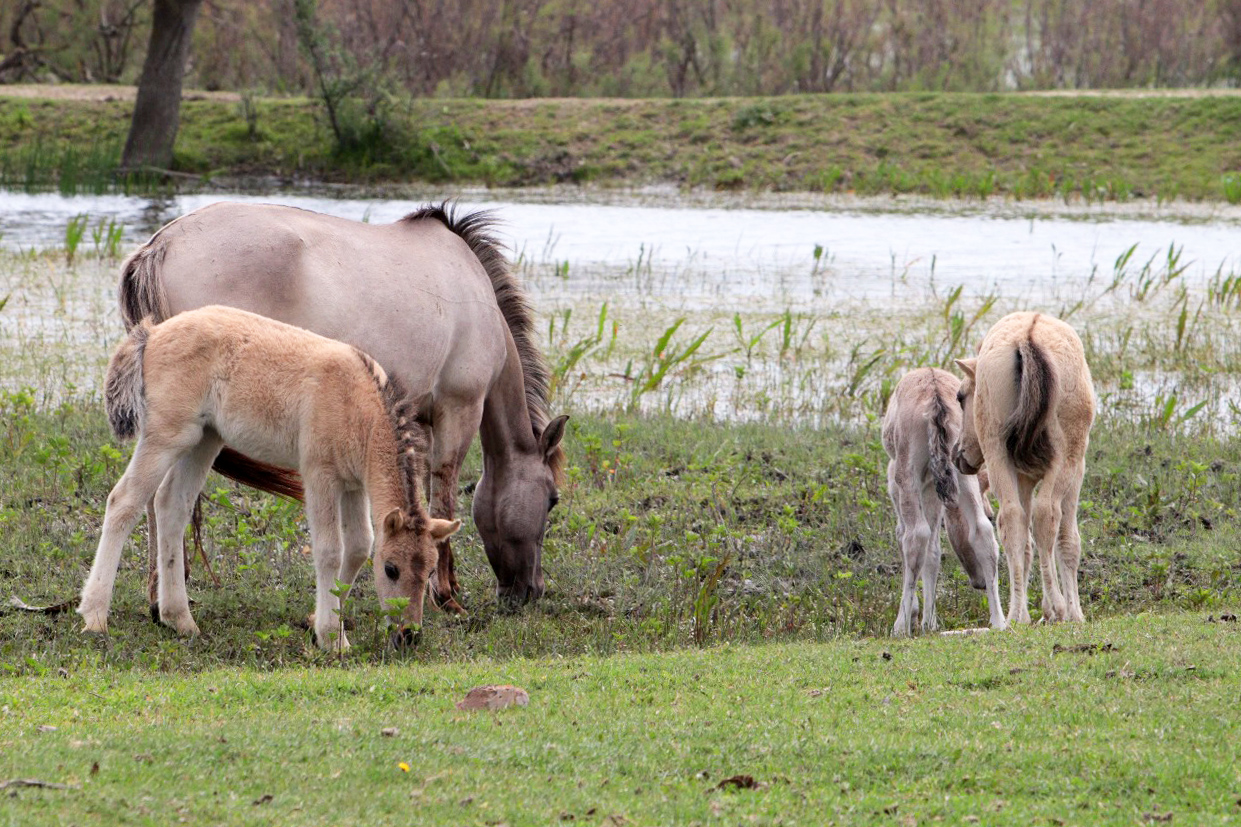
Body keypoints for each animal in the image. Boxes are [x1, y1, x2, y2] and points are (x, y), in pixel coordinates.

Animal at [81, 305, 461, 645]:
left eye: (429, 571)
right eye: (391, 569)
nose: (408, 636)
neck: (359, 407)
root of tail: (152, 333)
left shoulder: (354, 484)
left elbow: (358, 546)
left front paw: (317, 621)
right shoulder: (320, 475)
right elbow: (330, 549)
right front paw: (331, 638)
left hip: (205, 439)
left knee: (171, 505)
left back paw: (180, 619)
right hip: (166, 435)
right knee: (123, 501)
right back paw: (95, 616)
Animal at [120, 201, 568, 610]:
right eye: (552, 500)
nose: (531, 590)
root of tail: (160, 246)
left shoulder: (416, 419)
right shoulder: (459, 410)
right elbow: (444, 493)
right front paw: (446, 593)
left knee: (152, 496)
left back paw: (159, 598)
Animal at [883, 365, 1007, 630]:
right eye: (992, 514)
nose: (979, 582)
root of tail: (936, 399)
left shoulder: (898, 483)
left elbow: (905, 534)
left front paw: (918, 616)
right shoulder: (933, 487)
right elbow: (934, 551)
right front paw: (929, 622)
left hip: (906, 468)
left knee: (915, 534)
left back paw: (900, 626)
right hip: (962, 463)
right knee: (981, 531)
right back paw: (999, 620)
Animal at [948, 309, 1097, 618]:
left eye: (960, 396)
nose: (958, 455)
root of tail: (1027, 340)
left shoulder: (1023, 477)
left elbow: (1026, 543)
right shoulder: (1078, 470)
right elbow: (1068, 540)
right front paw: (1073, 613)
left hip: (997, 454)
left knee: (1013, 519)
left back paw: (1018, 614)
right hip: (1066, 458)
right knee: (1046, 514)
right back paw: (1059, 608)